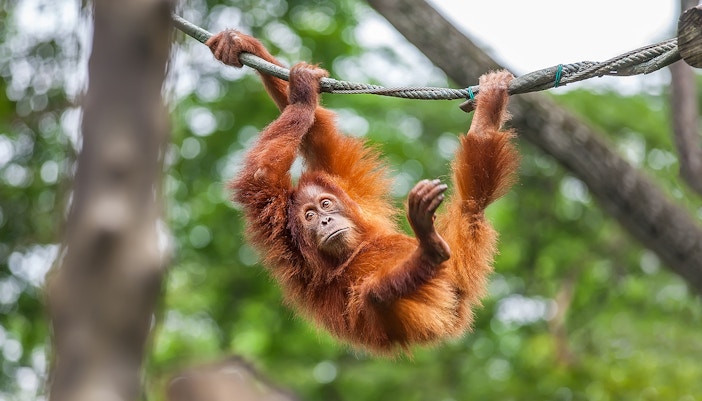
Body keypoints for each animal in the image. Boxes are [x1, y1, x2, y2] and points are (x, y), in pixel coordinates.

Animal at [206, 30, 518, 355]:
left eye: (326, 204)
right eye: (309, 216)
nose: (325, 221)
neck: (353, 250)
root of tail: (455, 315)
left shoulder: (345, 187)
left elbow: (318, 136)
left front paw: (242, 45)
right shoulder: (277, 226)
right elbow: (261, 175)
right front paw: (303, 95)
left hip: (458, 265)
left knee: (472, 205)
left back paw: (485, 119)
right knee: (373, 294)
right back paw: (429, 246)